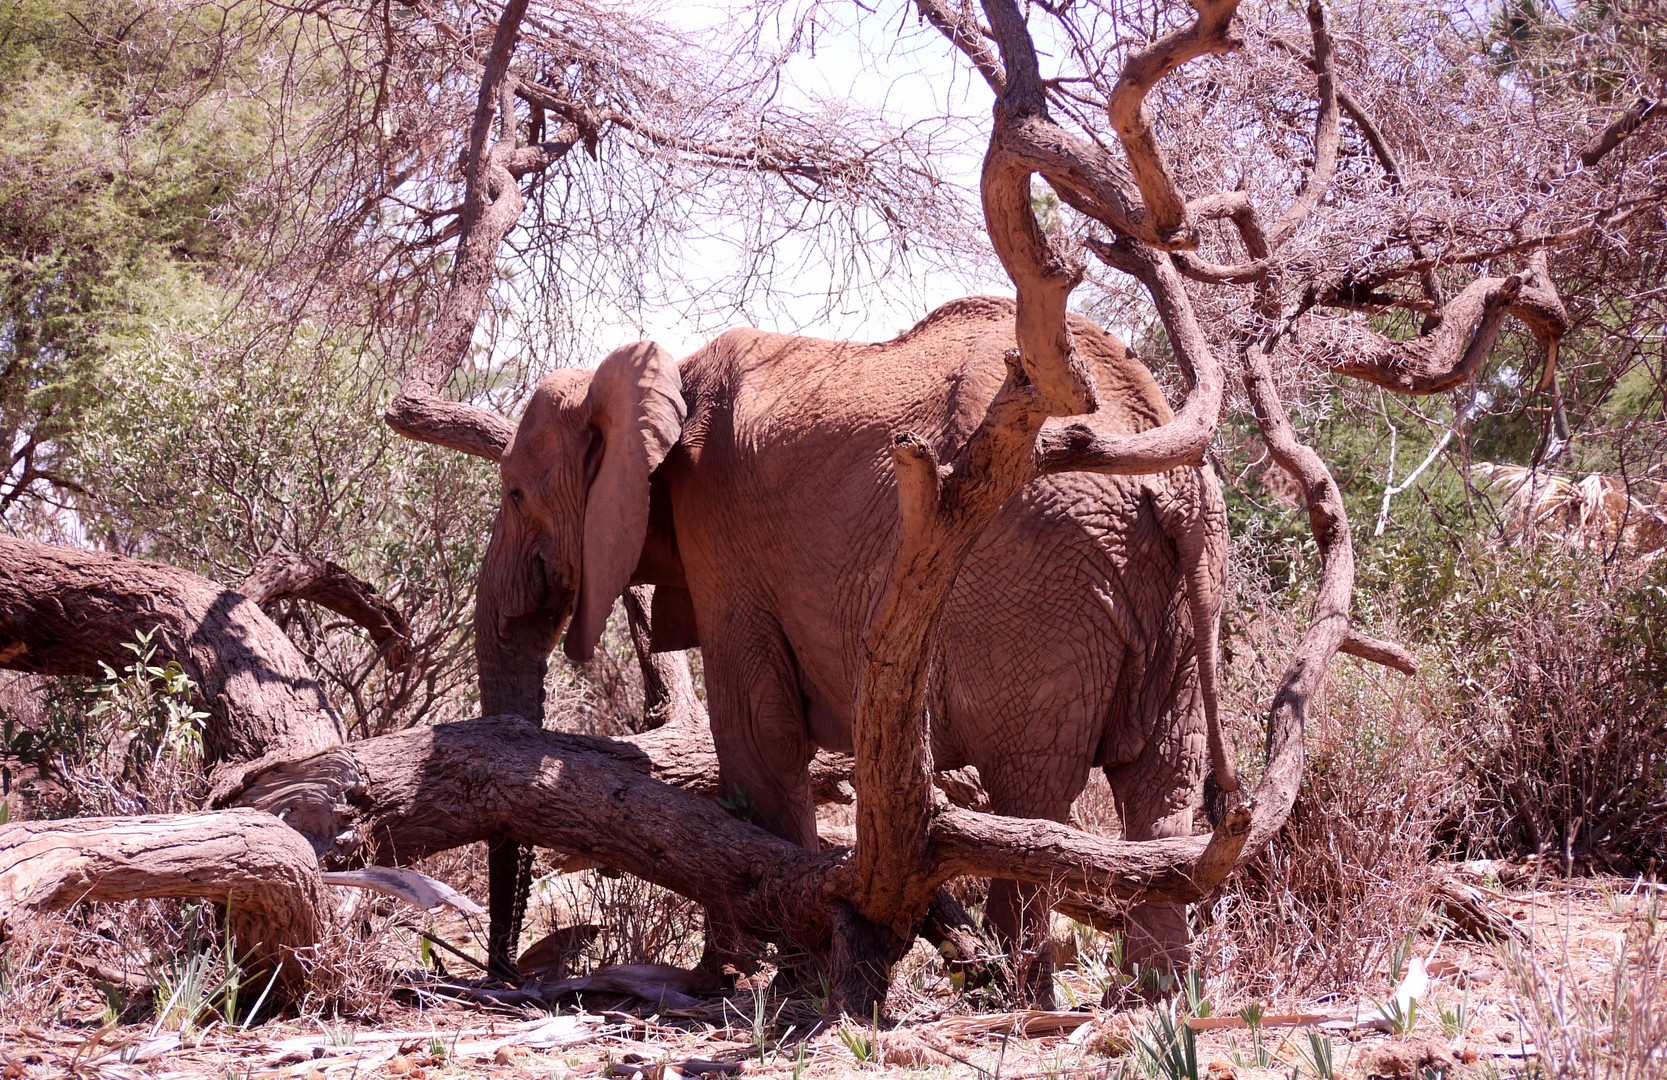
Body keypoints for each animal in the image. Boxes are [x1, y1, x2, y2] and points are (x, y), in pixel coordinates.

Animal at [476, 295, 1233, 1006]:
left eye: (514, 493)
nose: (507, 978)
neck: (661, 374)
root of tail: (1169, 475)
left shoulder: (722, 534)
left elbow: (758, 734)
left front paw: (758, 981)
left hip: (1036, 583)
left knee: (1030, 787)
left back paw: (1014, 997)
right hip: (1175, 593)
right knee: (1160, 779)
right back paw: (1152, 1000)